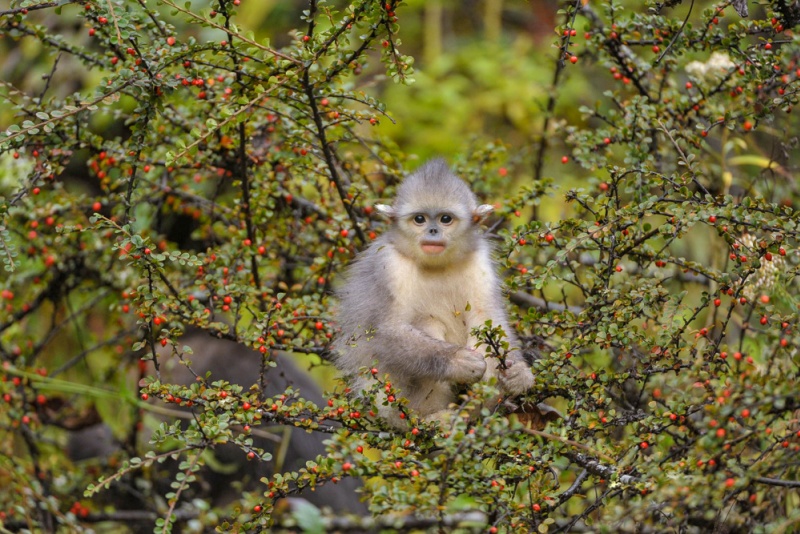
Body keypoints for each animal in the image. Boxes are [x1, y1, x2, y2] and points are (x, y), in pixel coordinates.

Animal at [332, 159, 532, 428]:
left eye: (445, 219)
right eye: (420, 219)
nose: (433, 231)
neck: (437, 266)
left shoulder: (479, 263)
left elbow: (488, 320)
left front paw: (518, 374)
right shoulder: (387, 265)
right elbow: (383, 331)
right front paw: (457, 361)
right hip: (392, 402)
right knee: (427, 323)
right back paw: (435, 418)